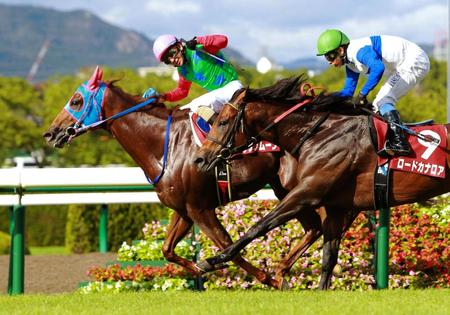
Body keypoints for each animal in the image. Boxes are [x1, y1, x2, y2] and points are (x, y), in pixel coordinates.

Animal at [43, 68, 330, 290]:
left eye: (77, 100)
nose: (50, 133)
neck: (164, 146)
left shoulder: (200, 208)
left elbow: (229, 247)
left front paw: (265, 278)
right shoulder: (183, 210)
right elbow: (167, 249)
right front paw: (199, 269)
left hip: (297, 187)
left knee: (318, 223)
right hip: (286, 189)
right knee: (314, 227)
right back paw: (286, 270)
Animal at [194, 76, 450, 288]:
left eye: (223, 122)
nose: (200, 158)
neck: (319, 134)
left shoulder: (307, 192)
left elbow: (260, 225)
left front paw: (213, 259)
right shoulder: (336, 206)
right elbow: (328, 258)